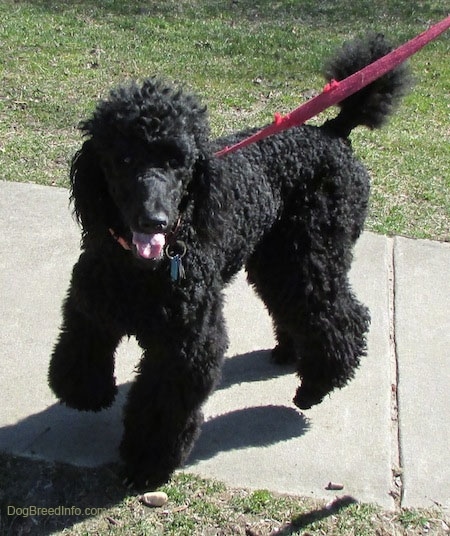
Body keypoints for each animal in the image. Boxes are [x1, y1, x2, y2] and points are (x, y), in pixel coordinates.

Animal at [49, 32, 408, 486]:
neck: (143, 271)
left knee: (343, 316)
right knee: (299, 308)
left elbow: (161, 406)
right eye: (124, 159)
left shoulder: (186, 345)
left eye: (177, 161)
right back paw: (291, 353)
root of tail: (333, 132)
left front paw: (147, 462)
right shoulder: (91, 307)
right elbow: (79, 356)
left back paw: (316, 385)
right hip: (277, 259)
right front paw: (90, 393)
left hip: (312, 254)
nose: (155, 219)